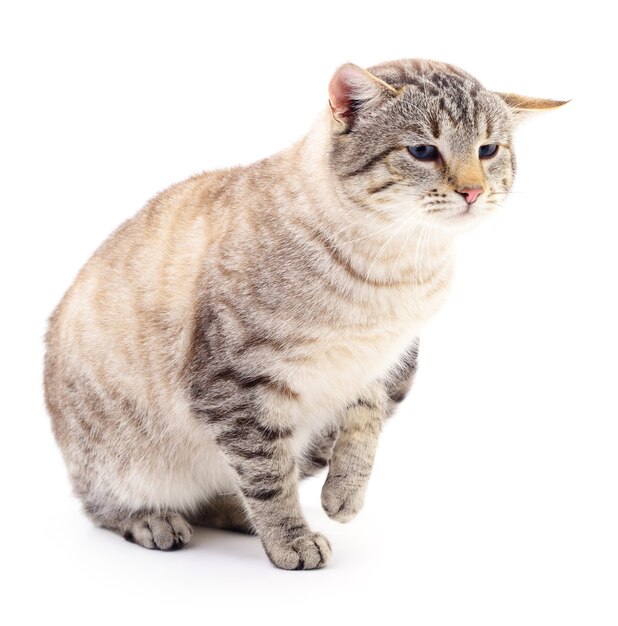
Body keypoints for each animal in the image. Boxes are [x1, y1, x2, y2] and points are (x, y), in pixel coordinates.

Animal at [43, 57, 564, 564]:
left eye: (488, 150)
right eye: (423, 151)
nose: (472, 192)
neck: (393, 270)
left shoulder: (384, 365)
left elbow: (362, 428)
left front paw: (344, 496)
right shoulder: (235, 385)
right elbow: (268, 477)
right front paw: (291, 541)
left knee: (224, 494)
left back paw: (236, 514)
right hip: (117, 459)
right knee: (104, 505)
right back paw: (154, 520)